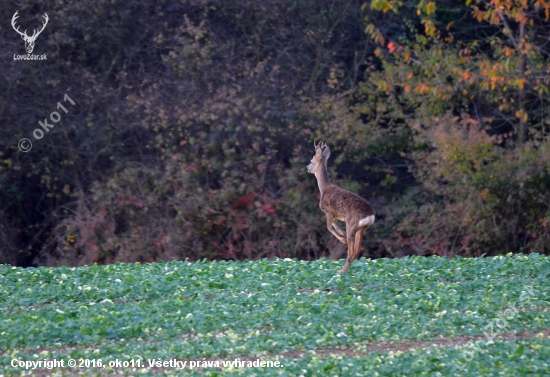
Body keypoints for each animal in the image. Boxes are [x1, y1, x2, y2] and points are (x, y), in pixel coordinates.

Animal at [308, 140, 378, 270]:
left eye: (311, 160)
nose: (307, 168)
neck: (324, 188)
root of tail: (370, 215)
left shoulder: (328, 210)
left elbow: (328, 227)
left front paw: (342, 239)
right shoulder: (334, 214)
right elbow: (334, 225)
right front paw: (342, 234)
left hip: (351, 224)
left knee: (351, 253)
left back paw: (340, 272)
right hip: (361, 229)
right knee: (356, 251)